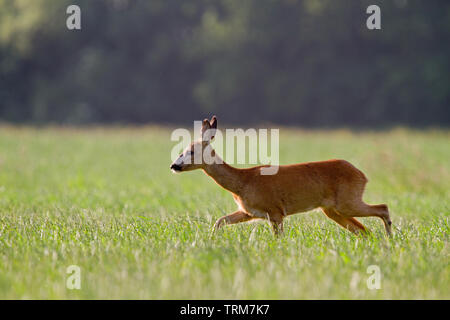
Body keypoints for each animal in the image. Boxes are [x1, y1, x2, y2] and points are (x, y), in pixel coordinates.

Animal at [169, 116, 390, 236]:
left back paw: (390, 239)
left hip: (347, 201)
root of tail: (362, 175)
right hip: (333, 209)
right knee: (364, 231)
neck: (242, 182)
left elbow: (279, 239)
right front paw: (210, 239)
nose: (174, 165)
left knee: (383, 208)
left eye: (191, 151)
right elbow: (219, 221)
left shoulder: (275, 211)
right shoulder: (249, 212)